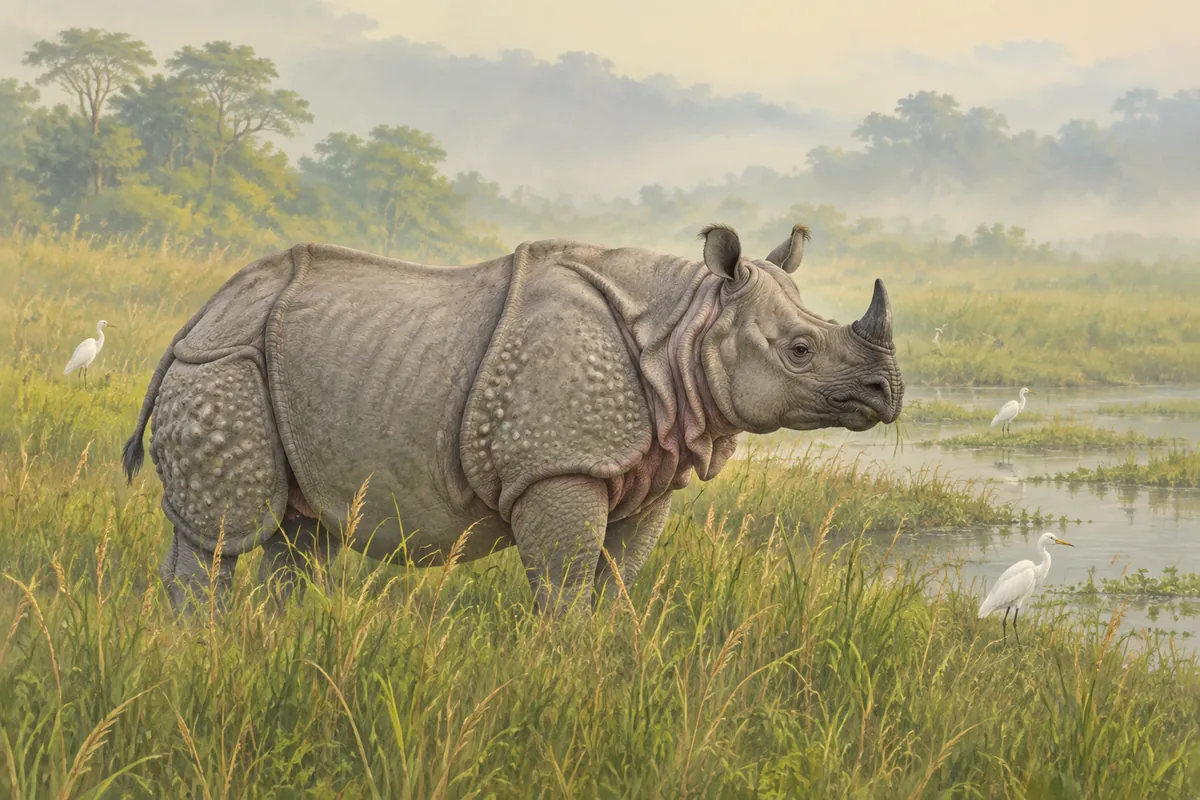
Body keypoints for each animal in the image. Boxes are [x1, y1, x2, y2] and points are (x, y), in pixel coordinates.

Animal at [122, 223, 903, 617]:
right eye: (799, 350)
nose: (888, 391)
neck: (683, 329)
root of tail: (203, 314)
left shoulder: (649, 466)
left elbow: (617, 580)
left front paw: (610, 664)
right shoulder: (558, 464)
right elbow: (564, 582)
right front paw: (563, 674)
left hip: (280, 366)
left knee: (302, 532)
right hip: (223, 364)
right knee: (225, 535)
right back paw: (203, 650)